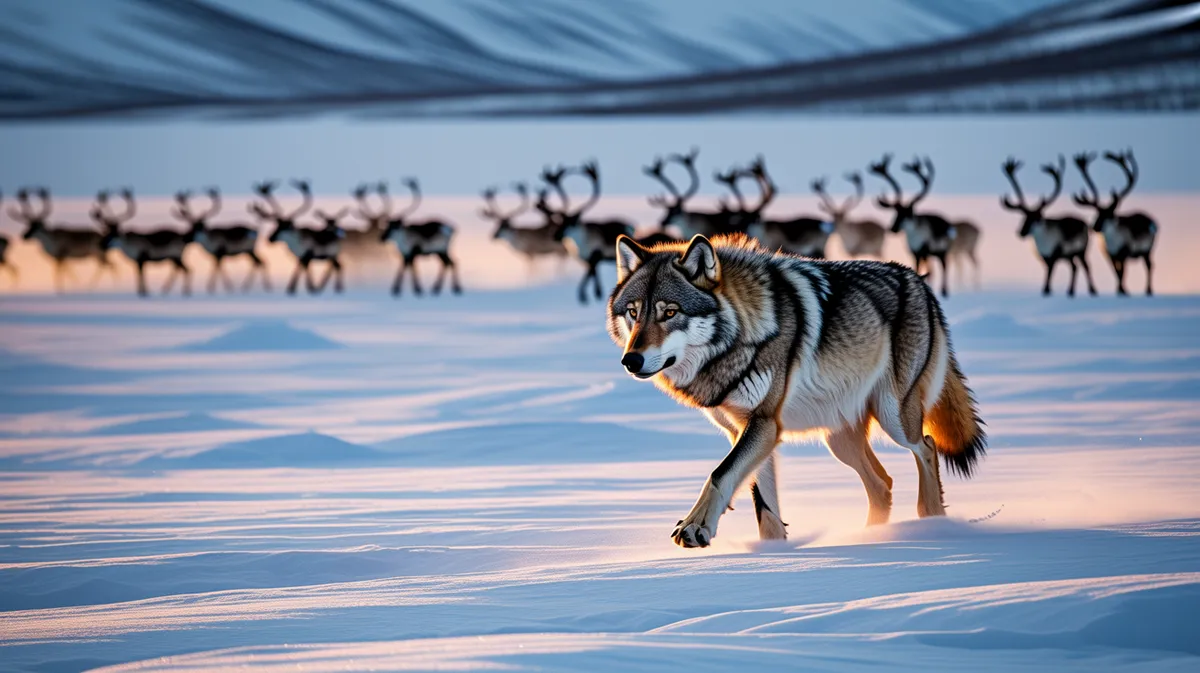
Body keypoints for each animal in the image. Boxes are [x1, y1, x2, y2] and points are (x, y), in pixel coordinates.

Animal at [607, 233, 986, 548]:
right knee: (883, 483)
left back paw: (932, 524)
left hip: (894, 418)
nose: (631, 360)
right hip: (839, 440)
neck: (740, 337)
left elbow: (719, 474)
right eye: (634, 312)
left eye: (670, 312)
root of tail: (919, 282)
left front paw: (695, 526)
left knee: (927, 447)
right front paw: (774, 554)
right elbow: (764, 506)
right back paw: (871, 537)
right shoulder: (746, 431)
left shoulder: (763, 424)